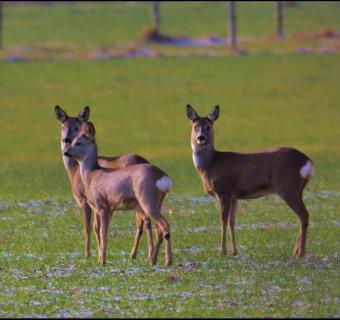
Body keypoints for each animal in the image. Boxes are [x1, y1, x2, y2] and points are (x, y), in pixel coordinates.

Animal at [54, 106, 154, 262]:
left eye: (76, 127)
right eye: (63, 126)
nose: (67, 140)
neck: (74, 170)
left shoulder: (84, 199)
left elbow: (88, 227)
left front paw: (88, 254)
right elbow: (97, 226)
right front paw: (99, 252)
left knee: (143, 220)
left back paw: (143, 254)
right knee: (143, 221)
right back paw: (135, 254)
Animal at [63, 121, 173, 266]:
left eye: (79, 142)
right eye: (72, 140)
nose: (66, 152)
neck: (92, 175)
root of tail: (163, 177)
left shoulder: (102, 205)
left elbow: (103, 233)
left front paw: (102, 261)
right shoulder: (107, 209)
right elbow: (100, 230)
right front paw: (100, 259)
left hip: (147, 200)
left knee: (164, 225)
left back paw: (167, 261)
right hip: (156, 202)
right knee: (158, 228)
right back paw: (153, 260)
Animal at [187, 104, 314, 258]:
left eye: (208, 126)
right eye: (195, 126)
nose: (201, 138)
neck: (211, 164)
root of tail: (308, 161)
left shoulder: (224, 191)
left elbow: (223, 221)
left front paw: (222, 251)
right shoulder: (234, 196)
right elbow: (232, 222)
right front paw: (234, 251)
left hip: (288, 187)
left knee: (304, 214)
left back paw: (300, 253)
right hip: (297, 189)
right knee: (302, 215)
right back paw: (295, 252)